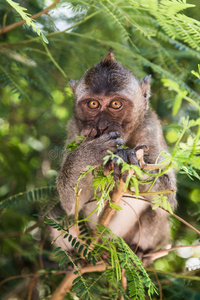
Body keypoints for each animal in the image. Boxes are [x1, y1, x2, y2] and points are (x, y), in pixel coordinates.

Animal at [54, 48, 177, 260]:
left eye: (116, 104)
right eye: (93, 104)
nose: (102, 126)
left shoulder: (150, 126)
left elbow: (167, 198)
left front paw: (129, 161)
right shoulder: (75, 131)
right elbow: (70, 204)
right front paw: (85, 155)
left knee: (155, 213)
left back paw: (141, 252)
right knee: (55, 212)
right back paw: (74, 258)